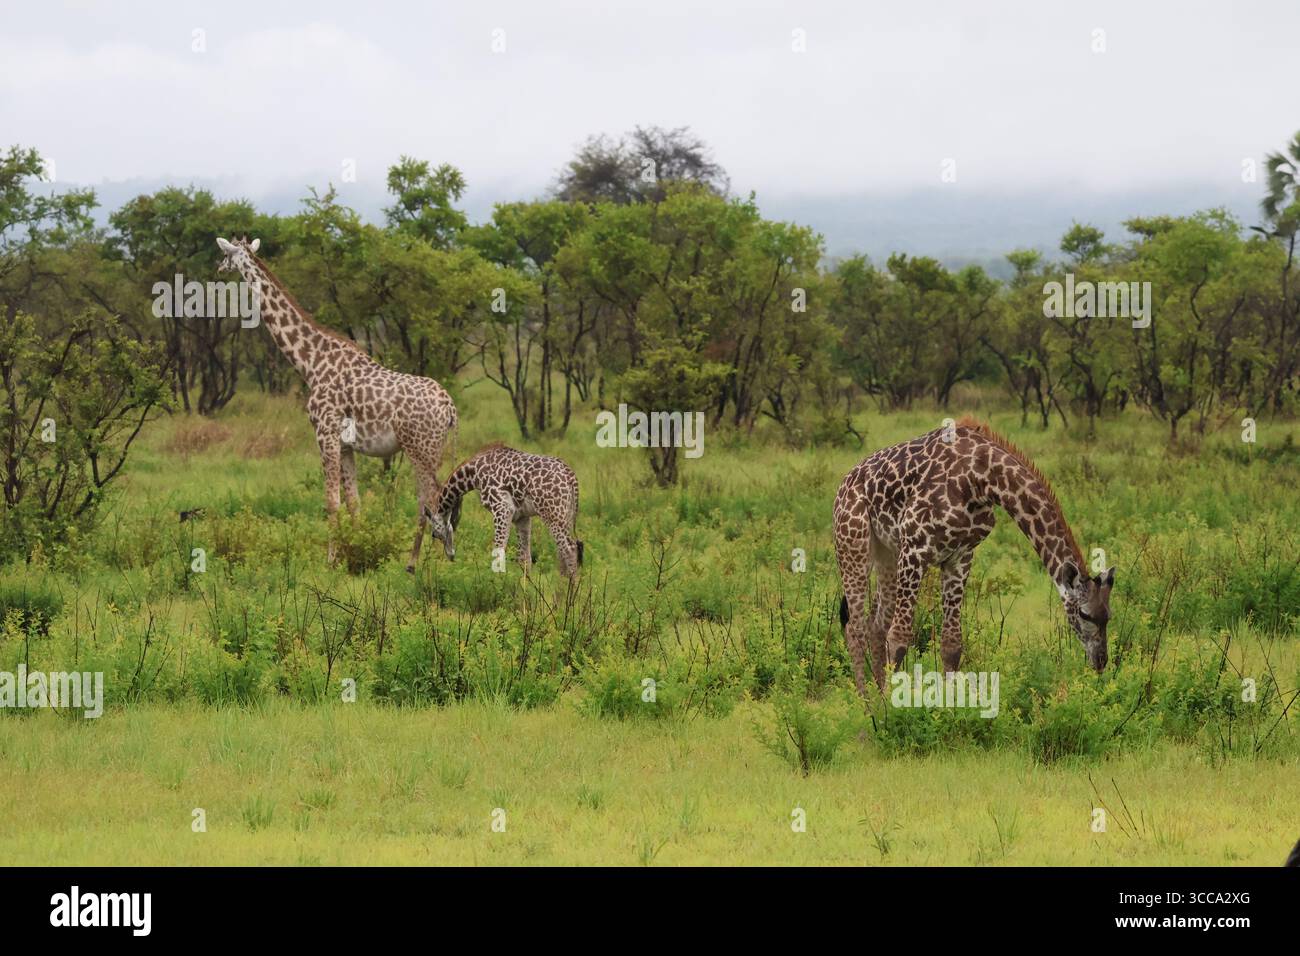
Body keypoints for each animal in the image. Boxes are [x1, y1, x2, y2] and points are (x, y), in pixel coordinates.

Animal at [215, 236, 458, 569]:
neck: (310, 362)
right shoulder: (346, 446)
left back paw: (420, 561)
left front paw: (331, 560)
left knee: (431, 498)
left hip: (421, 448)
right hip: (432, 449)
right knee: (434, 498)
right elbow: (354, 502)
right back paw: (428, 557)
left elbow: (331, 501)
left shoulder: (325, 434)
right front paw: (360, 552)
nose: (218, 268)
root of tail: (449, 407)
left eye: (225, 253)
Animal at [423, 444, 584, 578]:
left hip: (552, 514)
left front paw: (496, 582)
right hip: (565, 514)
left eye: (434, 534)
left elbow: (498, 550)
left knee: (570, 549)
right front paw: (527, 589)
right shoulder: (522, 517)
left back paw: (572, 591)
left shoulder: (502, 508)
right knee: (563, 552)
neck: (474, 474)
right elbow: (524, 558)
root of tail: (571, 476)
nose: (450, 556)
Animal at [833, 417, 1114, 695]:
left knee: (875, 625)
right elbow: (899, 638)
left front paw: (949, 704)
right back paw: (867, 701)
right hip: (853, 546)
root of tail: (843, 485)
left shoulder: (960, 556)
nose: (1101, 661)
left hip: (887, 553)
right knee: (855, 628)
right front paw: (896, 705)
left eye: (1108, 616)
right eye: (1085, 614)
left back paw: (879, 694)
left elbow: (952, 645)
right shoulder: (915, 548)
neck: (982, 479)